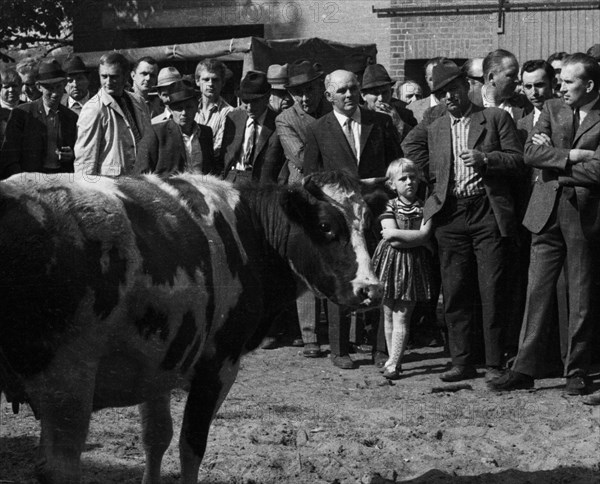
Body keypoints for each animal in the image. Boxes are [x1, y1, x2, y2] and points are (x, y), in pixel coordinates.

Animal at [0, 168, 384, 482]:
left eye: (368, 226)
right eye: (326, 226)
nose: (371, 289)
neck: (248, 233)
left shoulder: (157, 360)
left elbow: (157, 438)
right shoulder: (220, 364)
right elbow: (191, 446)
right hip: (68, 381)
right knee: (58, 468)